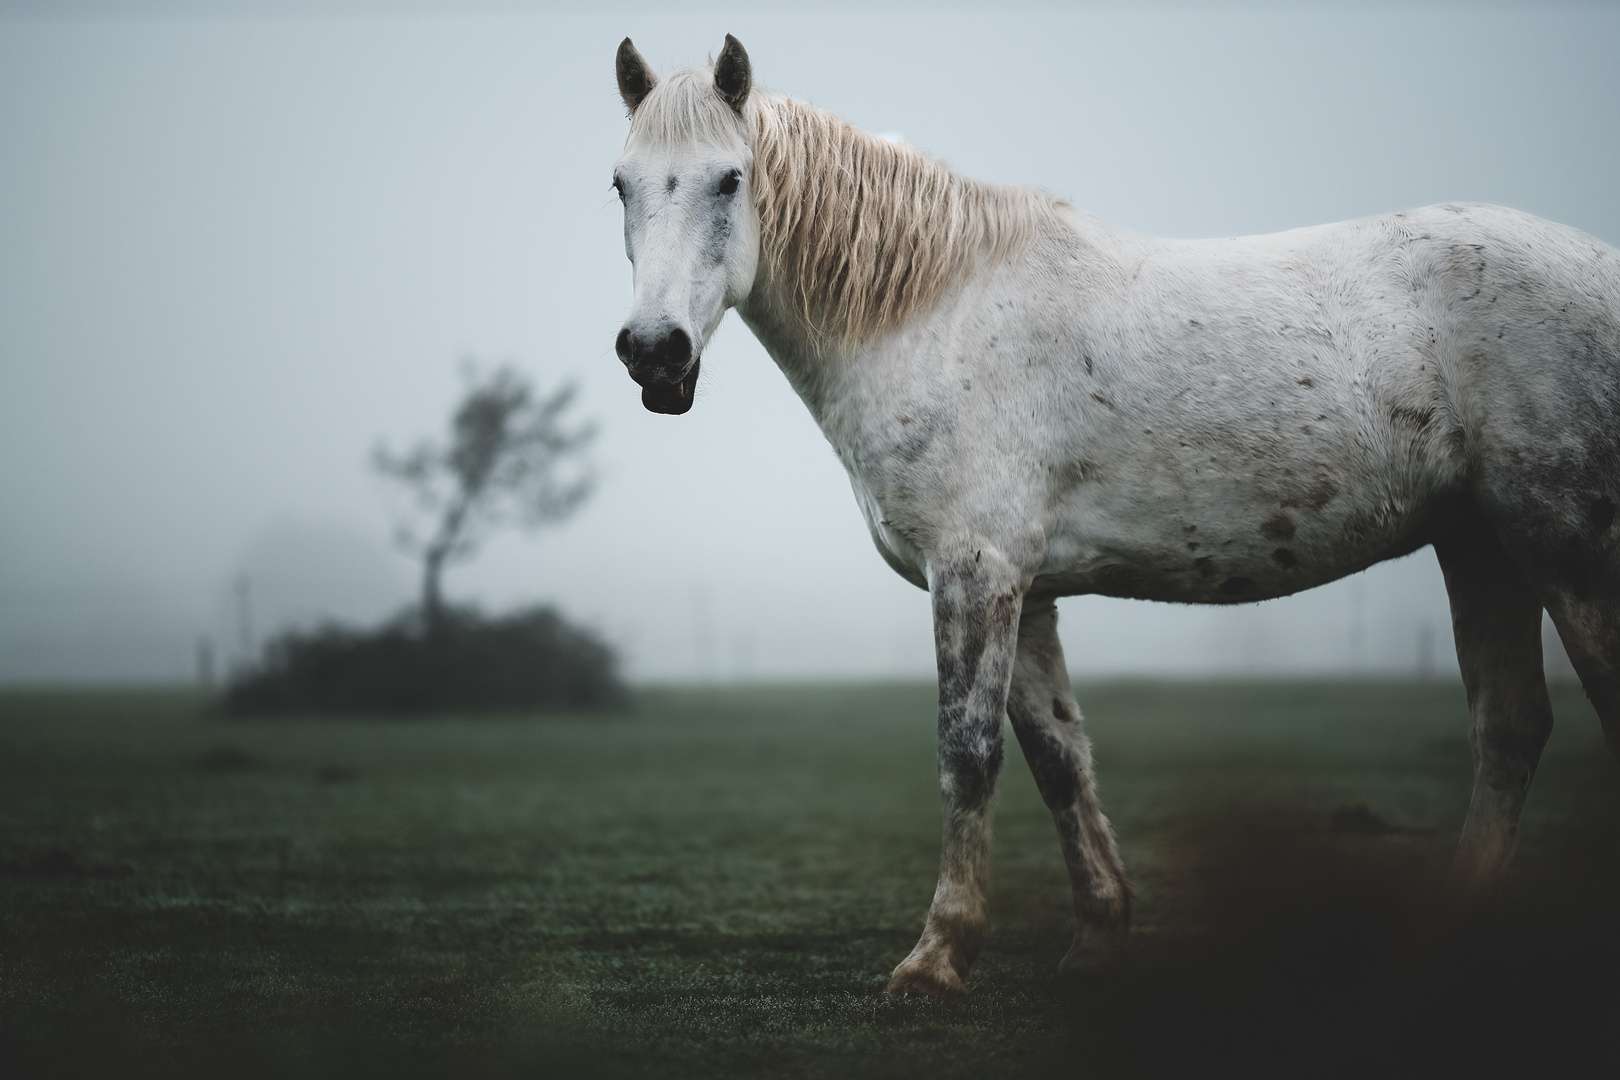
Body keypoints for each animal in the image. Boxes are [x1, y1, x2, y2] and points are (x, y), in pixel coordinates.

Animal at [605, 33, 1620, 997]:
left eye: (730, 178)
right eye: (620, 184)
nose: (655, 353)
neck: (935, 313)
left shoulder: (974, 574)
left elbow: (967, 754)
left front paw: (936, 959)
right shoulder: (1026, 594)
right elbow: (1059, 758)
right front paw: (1097, 942)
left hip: (1565, 552)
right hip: (1480, 546)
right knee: (1509, 729)